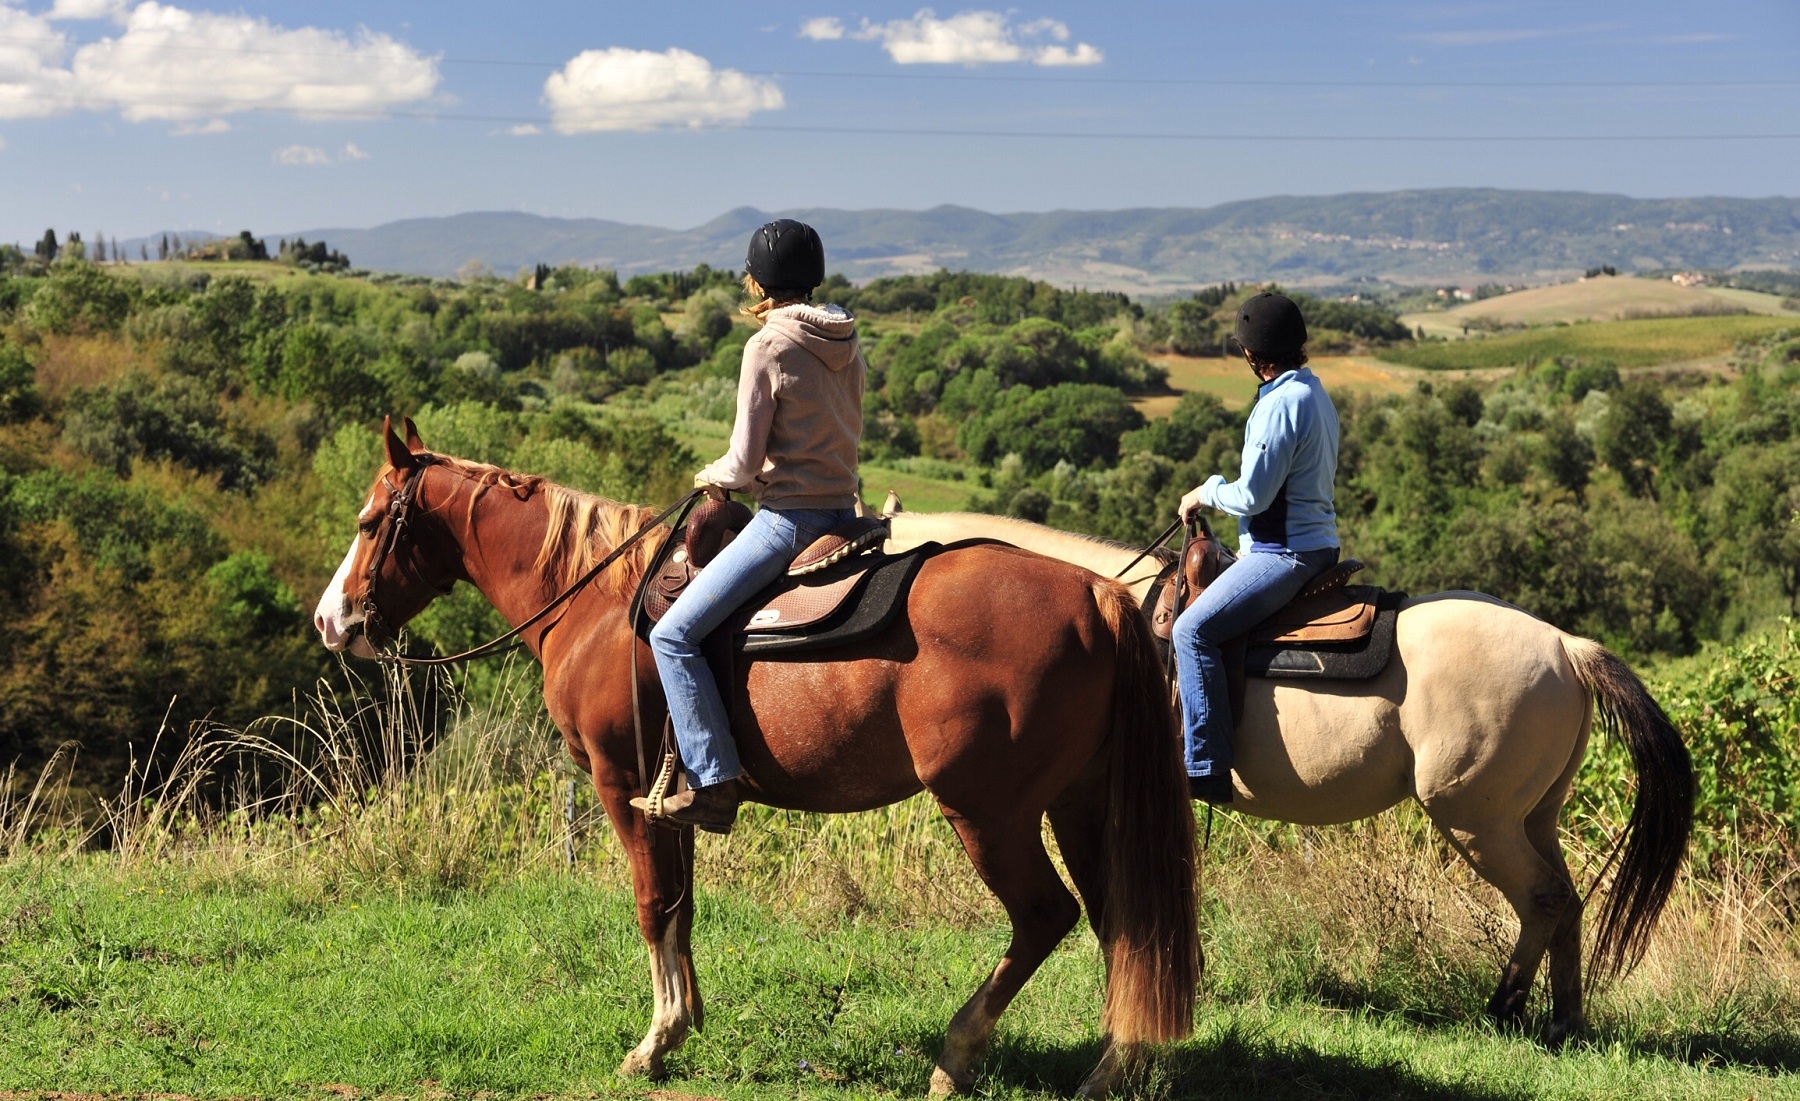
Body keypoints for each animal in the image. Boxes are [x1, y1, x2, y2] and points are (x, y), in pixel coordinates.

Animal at [316, 419, 1202, 1093]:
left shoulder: (617, 781)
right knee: (1125, 924)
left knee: (1046, 915)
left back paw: (958, 1055)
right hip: (1080, 802)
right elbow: (682, 904)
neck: (597, 600)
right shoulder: (670, 795)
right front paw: (686, 1020)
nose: (332, 621)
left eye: (369, 522)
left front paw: (654, 1040)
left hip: (989, 810)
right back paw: (1111, 1068)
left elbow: (652, 904)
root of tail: (1097, 594)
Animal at [892, 507, 1692, 1043]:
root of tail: (1566, 646)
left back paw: (1505, 1007)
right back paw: (1563, 1019)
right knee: (1567, 900)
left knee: (1543, 898)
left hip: (1478, 819)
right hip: (1533, 815)